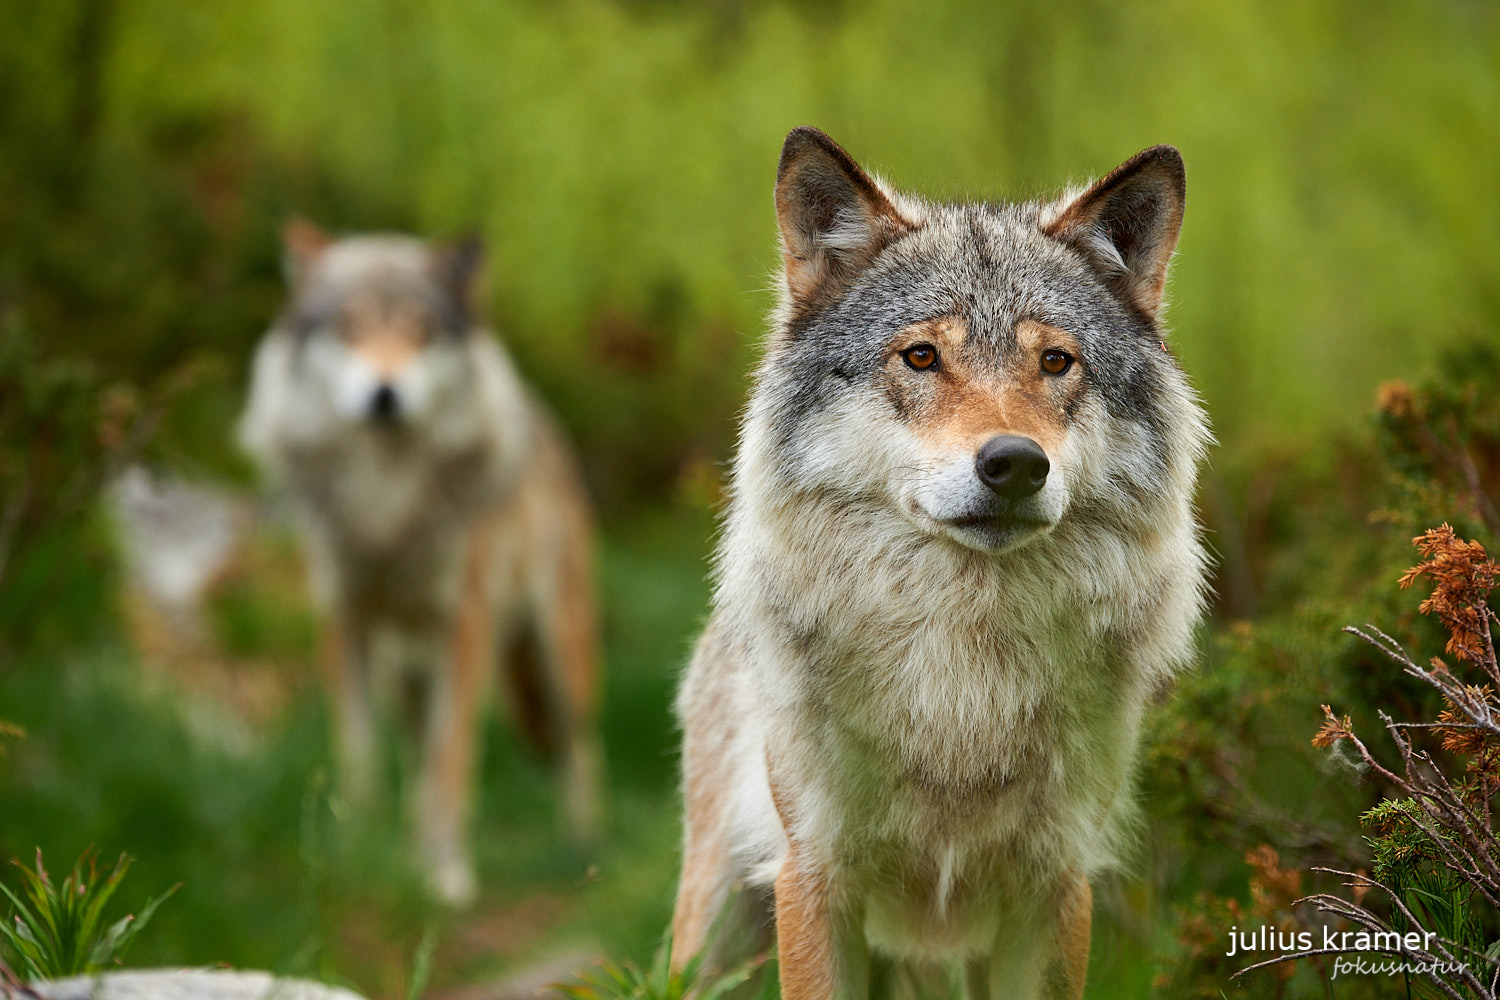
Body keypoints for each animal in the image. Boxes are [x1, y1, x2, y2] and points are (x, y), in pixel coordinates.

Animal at [240, 220, 597, 905]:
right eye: (348, 328)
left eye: (420, 332)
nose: (385, 394)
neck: (388, 503)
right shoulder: (344, 622)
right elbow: (361, 755)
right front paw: (359, 848)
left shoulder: (466, 628)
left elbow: (449, 761)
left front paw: (445, 873)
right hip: (405, 672)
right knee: (412, 751)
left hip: (556, 656)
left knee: (578, 747)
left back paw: (584, 848)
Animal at [675, 128, 1212, 995]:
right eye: (922, 357)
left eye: (1056, 363)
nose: (1016, 464)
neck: (965, 684)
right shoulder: (813, 878)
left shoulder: (1055, 888)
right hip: (717, 926)